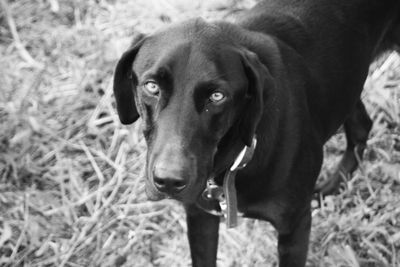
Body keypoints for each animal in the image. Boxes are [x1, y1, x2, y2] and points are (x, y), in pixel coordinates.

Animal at [111, 1, 400, 266]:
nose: (169, 181)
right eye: (151, 86)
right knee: (361, 126)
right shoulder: (200, 216)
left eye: (217, 96)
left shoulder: (294, 227)